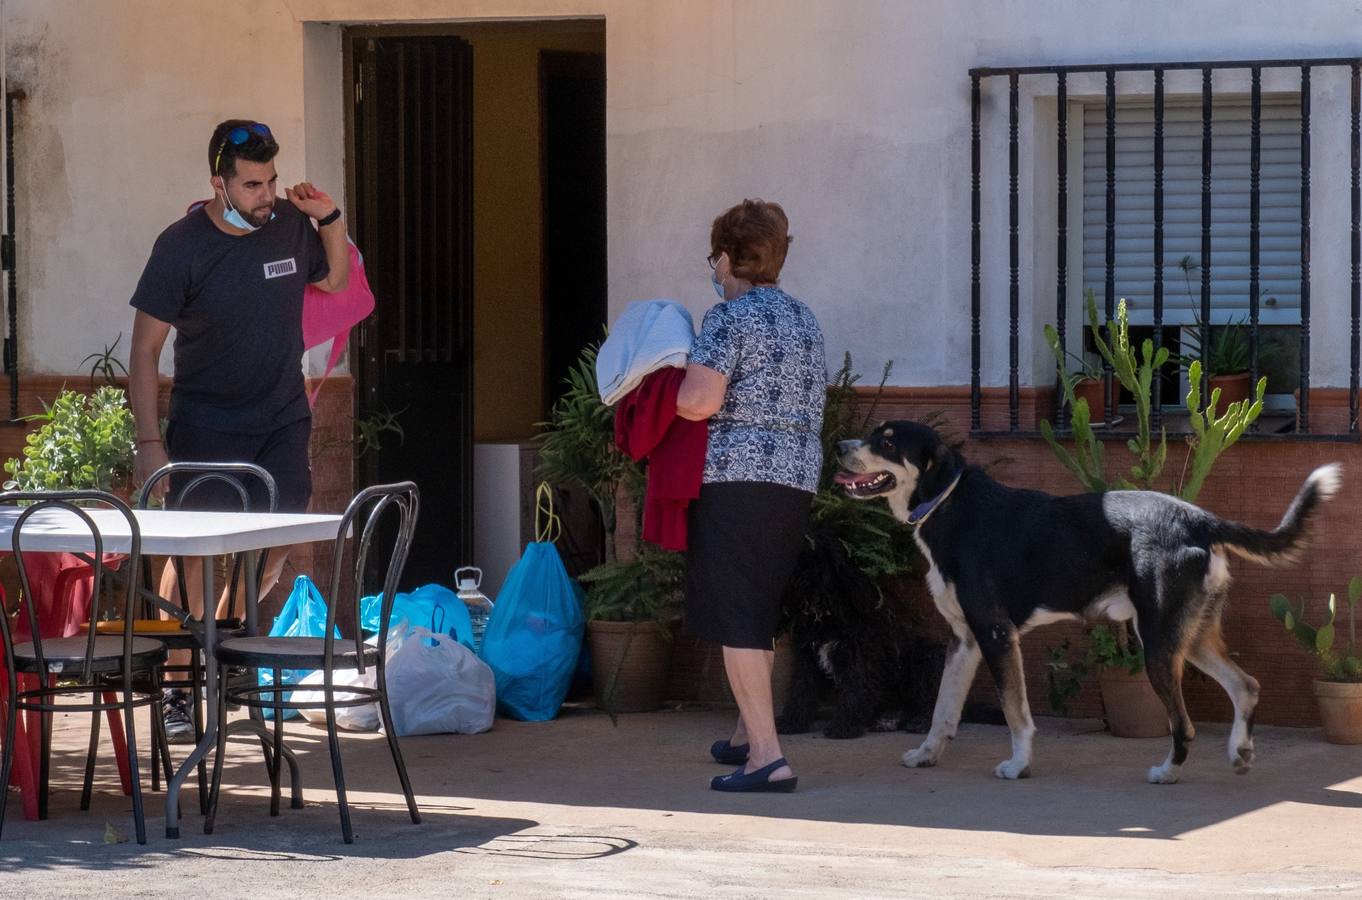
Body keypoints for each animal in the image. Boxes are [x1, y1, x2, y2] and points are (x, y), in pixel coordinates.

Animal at [833, 422, 1334, 778]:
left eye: (888, 441)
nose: (838, 445)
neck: (949, 506)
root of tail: (1198, 518)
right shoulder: (964, 639)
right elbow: (943, 710)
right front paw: (926, 755)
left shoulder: (995, 634)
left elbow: (1015, 712)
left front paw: (1019, 765)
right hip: (1188, 636)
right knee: (1245, 685)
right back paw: (1239, 752)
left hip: (1157, 641)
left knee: (1184, 722)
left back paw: (1167, 771)